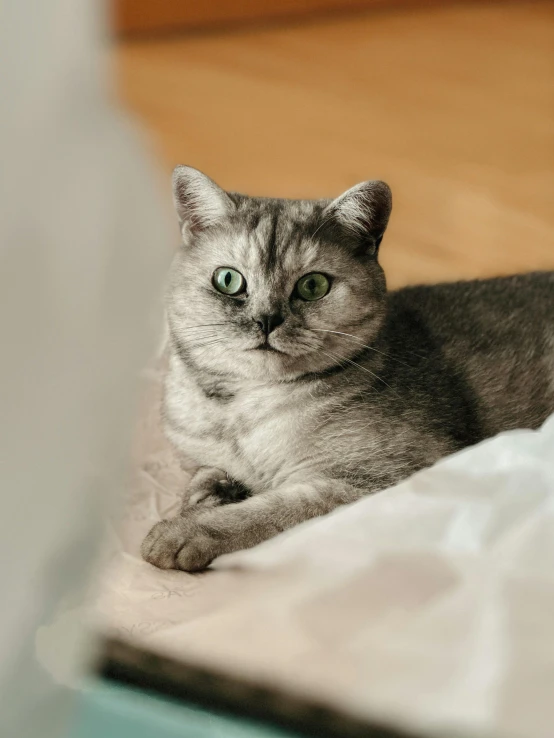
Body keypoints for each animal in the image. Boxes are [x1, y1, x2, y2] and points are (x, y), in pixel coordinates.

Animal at [140, 165, 552, 568]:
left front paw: (186, 531)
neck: (244, 410)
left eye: (313, 286)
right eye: (228, 280)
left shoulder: (385, 477)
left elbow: (269, 508)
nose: (267, 319)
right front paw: (207, 494)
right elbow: (206, 474)